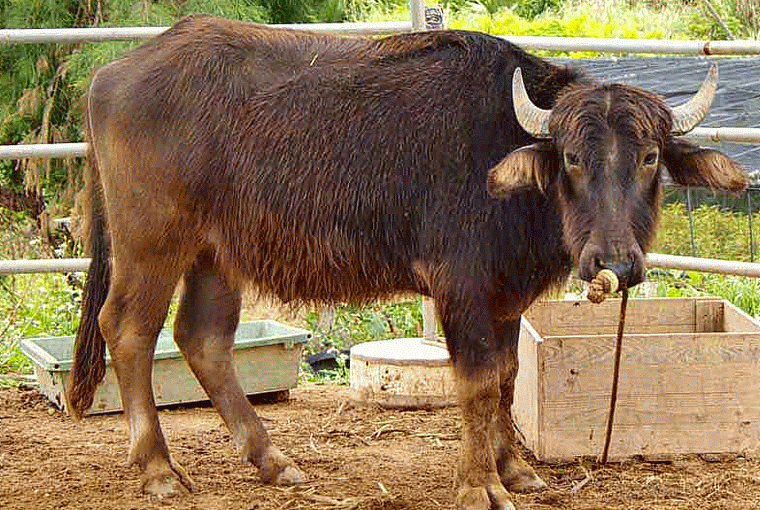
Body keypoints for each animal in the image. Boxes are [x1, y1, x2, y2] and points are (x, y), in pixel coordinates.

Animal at [68, 15, 747, 510]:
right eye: (573, 158)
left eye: (650, 157)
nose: (613, 260)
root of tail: (113, 74)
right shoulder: (462, 286)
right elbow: (476, 381)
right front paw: (479, 485)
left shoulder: (505, 296)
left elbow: (507, 376)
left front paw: (514, 469)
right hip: (152, 241)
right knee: (127, 330)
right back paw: (157, 469)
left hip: (216, 251)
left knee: (203, 339)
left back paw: (274, 463)